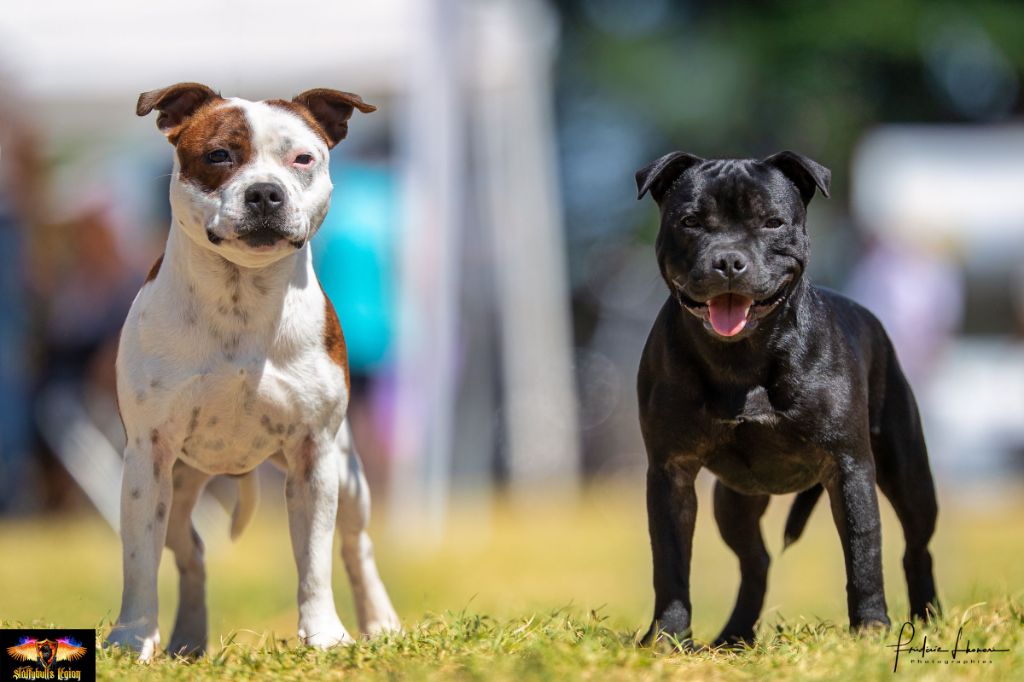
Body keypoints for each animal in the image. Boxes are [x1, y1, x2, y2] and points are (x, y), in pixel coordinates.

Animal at [107, 80, 399, 659]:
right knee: (189, 551)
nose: (265, 193)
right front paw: (132, 639)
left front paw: (325, 635)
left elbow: (315, 560)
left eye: (303, 158)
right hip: (179, 484)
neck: (240, 296)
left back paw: (380, 622)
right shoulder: (147, 460)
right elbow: (139, 561)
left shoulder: (314, 456)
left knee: (357, 545)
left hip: (349, 473)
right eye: (220, 155)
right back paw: (186, 640)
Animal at [634, 151, 937, 647]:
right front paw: (668, 638)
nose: (728, 260)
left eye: (773, 222)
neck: (741, 356)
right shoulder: (670, 472)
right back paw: (735, 635)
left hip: (909, 475)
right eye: (691, 221)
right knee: (755, 562)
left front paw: (871, 628)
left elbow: (863, 550)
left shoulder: (849, 466)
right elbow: (671, 561)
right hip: (733, 503)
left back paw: (928, 617)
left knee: (917, 544)